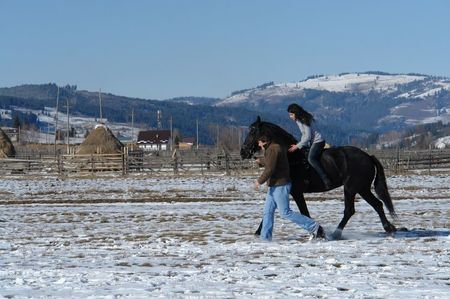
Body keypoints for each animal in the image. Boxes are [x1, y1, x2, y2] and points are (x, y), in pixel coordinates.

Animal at [241, 116, 400, 240]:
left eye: (253, 131)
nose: (243, 152)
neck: (291, 157)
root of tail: (367, 156)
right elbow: (269, 211)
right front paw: (257, 232)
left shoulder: (296, 192)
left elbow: (304, 212)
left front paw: (319, 232)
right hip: (362, 188)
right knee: (377, 204)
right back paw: (389, 227)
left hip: (351, 188)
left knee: (350, 210)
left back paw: (336, 234)